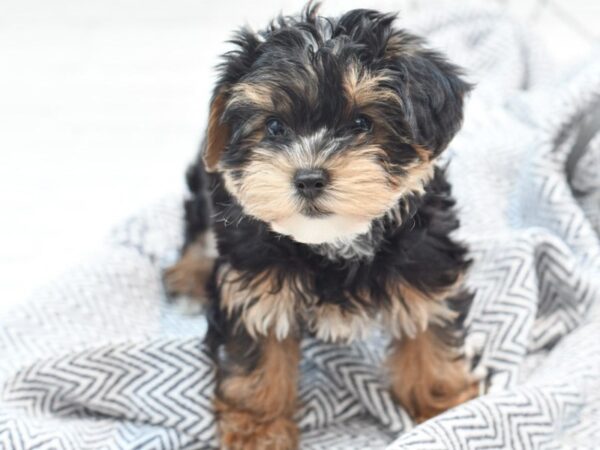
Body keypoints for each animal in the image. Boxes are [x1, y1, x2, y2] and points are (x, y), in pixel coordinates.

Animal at [164, 4, 478, 450]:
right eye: (274, 127)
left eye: (362, 124)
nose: (309, 178)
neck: (334, 243)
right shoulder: (256, 281)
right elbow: (259, 354)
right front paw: (259, 429)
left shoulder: (426, 262)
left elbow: (427, 333)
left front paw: (444, 408)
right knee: (199, 226)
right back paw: (189, 277)